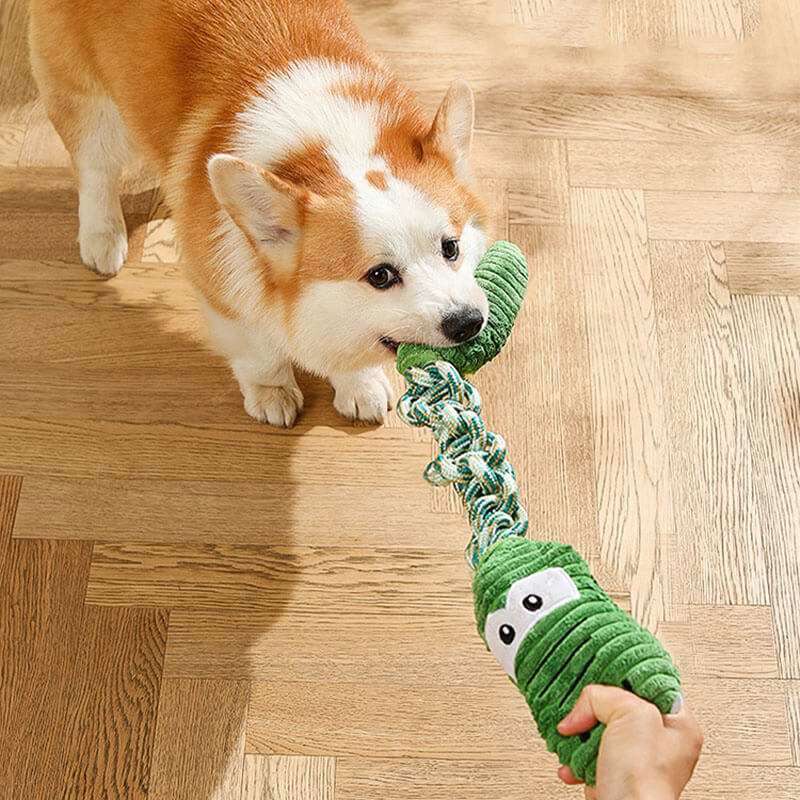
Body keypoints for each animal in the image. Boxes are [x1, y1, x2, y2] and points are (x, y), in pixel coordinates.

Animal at [28, 0, 488, 424]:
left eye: (451, 247)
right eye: (380, 276)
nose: (468, 322)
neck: (326, 148)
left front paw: (361, 385)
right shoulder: (220, 290)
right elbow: (259, 350)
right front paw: (273, 393)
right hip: (88, 102)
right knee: (95, 166)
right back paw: (101, 236)